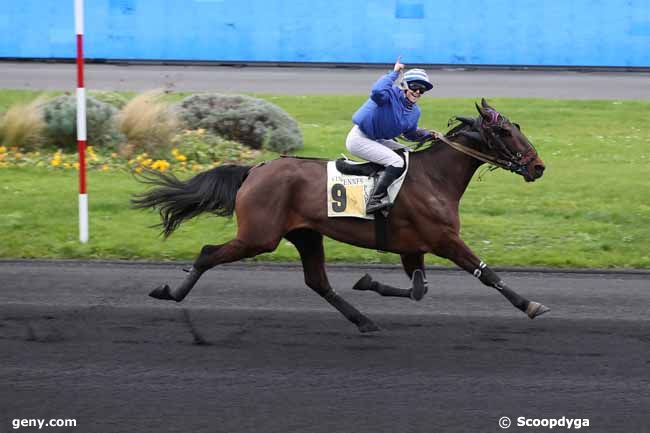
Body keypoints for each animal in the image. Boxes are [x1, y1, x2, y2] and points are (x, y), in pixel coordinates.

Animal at [133, 99, 548, 332]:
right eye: (505, 131)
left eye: (515, 127)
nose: (538, 167)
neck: (435, 177)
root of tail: (256, 169)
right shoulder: (444, 240)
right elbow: (486, 273)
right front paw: (530, 304)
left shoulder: (412, 247)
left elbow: (418, 290)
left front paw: (368, 282)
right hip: (259, 236)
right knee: (208, 253)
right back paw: (170, 292)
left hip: (305, 234)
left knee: (318, 282)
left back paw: (363, 320)